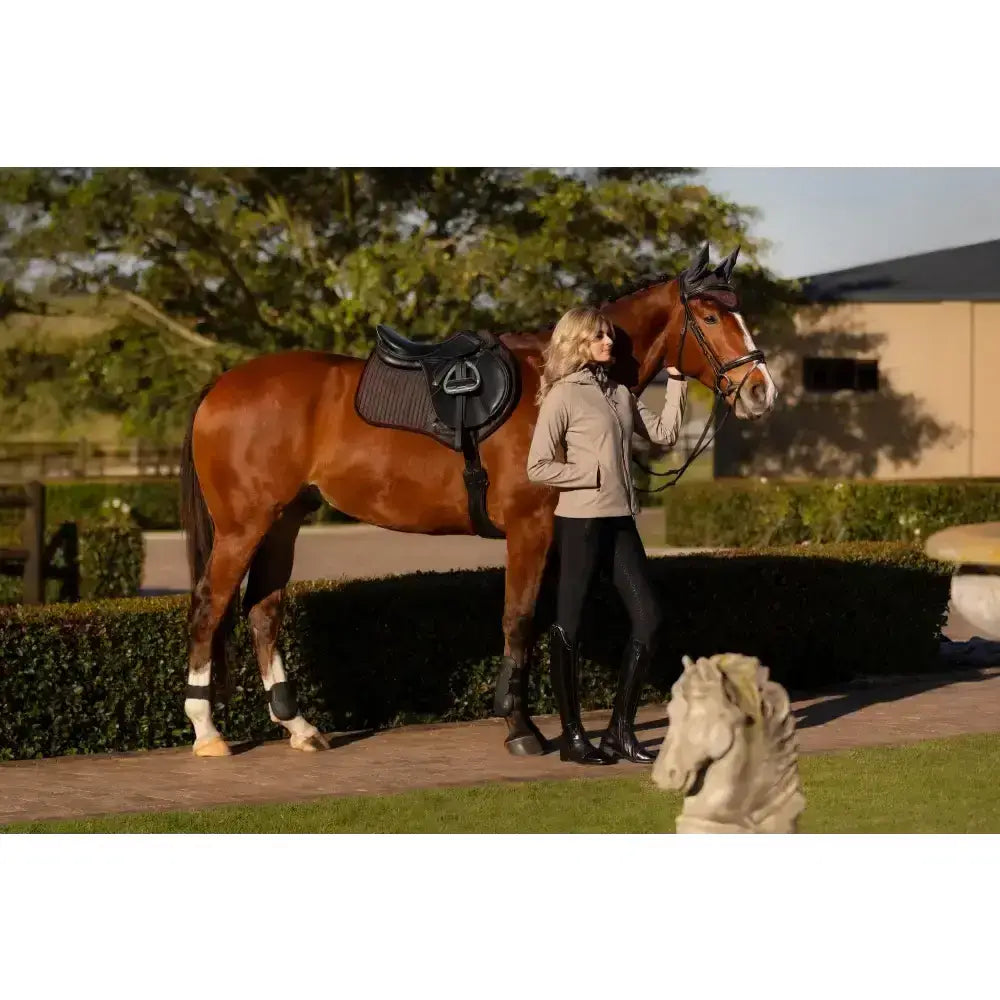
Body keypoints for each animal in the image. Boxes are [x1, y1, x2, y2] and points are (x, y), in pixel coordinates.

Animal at [178, 243, 778, 758]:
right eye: (711, 318)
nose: (761, 391)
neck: (558, 378)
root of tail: (219, 387)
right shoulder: (529, 528)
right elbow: (518, 620)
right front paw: (520, 727)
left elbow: (546, 624)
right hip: (244, 527)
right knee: (211, 606)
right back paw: (207, 732)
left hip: (282, 522)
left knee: (263, 610)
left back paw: (298, 726)